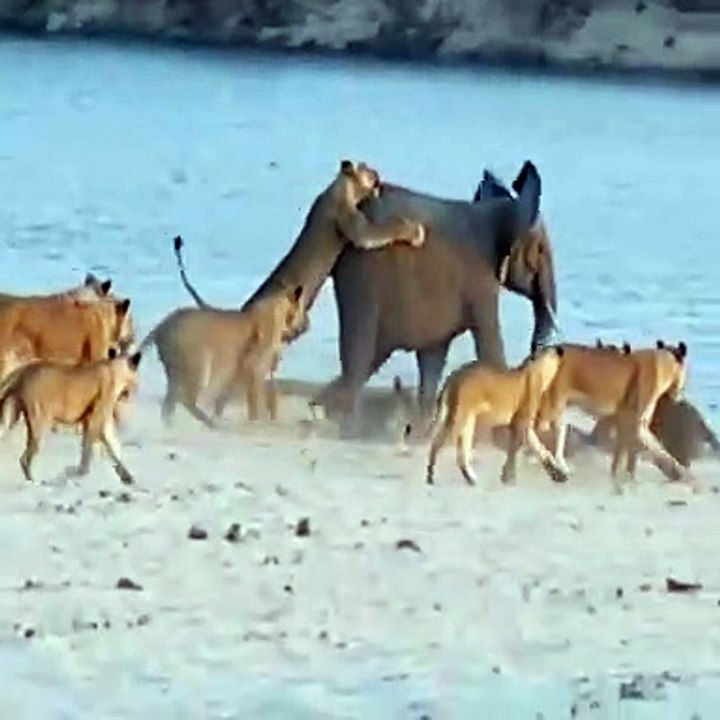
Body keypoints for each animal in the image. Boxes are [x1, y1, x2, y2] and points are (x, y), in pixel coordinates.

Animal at [0, 347, 142, 484]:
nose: (130, 392)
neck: (115, 369)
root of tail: (21, 372)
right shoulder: (96, 419)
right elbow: (89, 448)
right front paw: (82, 473)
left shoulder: (95, 421)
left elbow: (113, 447)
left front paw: (126, 476)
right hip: (38, 422)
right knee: (25, 459)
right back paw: (33, 481)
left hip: (11, 414)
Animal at [138, 284, 308, 428]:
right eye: (302, 309)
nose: (306, 326)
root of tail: (162, 325)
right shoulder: (254, 370)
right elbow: (254, 401)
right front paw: (256, 423)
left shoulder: (238, 373)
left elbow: (225, 398)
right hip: (198, 368)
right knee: (185, 399)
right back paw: (208, 424)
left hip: (176, 372)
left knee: (169, 403)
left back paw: (171, 426)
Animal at [425, 346, 569, 487]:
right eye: (551, 350)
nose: (560, 350)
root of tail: (453, 376)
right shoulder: (519, 422)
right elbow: (514, 450)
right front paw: (508, 478)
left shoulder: (526, 426)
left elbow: (542, 450)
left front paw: (558, 474)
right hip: (460, 417)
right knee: (439, 443)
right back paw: (432, 476)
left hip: (468, 421)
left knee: (459, 451)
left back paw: (468, 478)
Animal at [536, 340, 692, 490]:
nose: (680, 398)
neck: (664, 363)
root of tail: (545, 351)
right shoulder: (633, 423)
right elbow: (646, 452)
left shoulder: (630, 423)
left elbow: (641, 451)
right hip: (552, 408)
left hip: (559, 413)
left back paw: (559, 466)